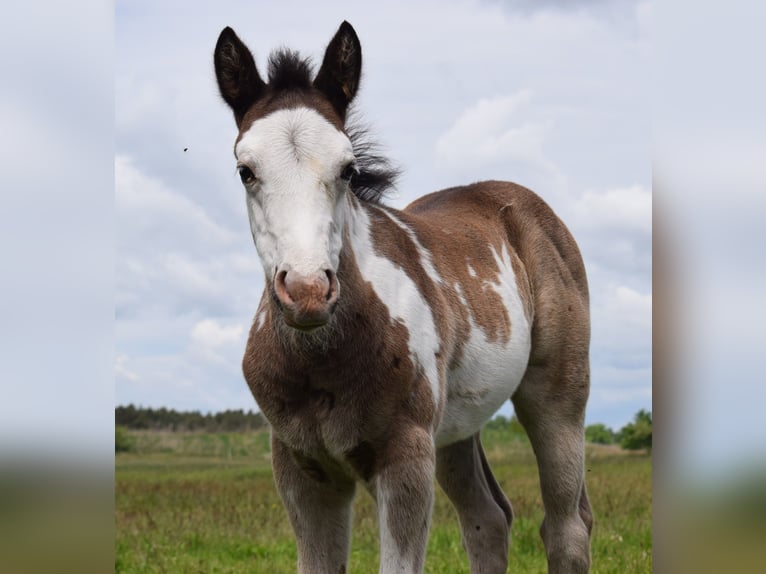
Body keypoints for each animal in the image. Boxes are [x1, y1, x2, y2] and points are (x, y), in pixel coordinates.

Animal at [213, 21, 593, 574]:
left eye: (348, 169)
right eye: (246, 170)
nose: (307, 291)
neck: (323, 361)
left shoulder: (404, 459)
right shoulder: (302, 468)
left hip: (557, 395)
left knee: (566, 528)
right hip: (455, 429)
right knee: (488, 519)